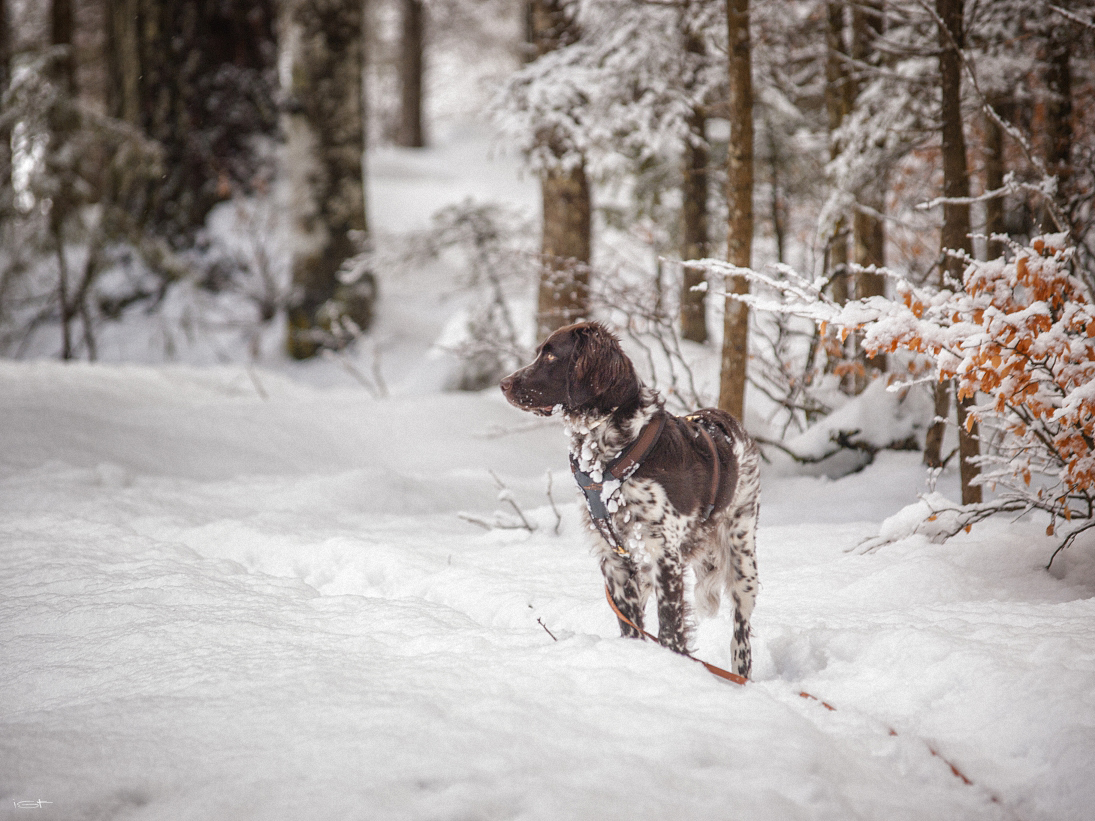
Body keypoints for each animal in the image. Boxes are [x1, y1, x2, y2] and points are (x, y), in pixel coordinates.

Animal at [501, 319, 757, 674]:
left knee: (741, 634)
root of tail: (728, 423)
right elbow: (630, 626)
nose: (503, 384)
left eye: (551, 356)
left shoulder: (665, 554)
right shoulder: (615, 559)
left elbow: (671, 630)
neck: (611, 456)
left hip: (742, 557)